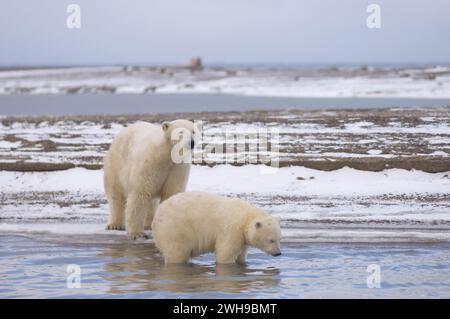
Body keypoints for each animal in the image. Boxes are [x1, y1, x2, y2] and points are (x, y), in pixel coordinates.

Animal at [153, 192, 284, 264]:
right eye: (271, 240)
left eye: (279, 239)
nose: (278, 253)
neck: (245, 218)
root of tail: (157, 216)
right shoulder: (231, 230)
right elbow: (225, 253)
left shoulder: (242, 238)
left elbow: (241, 255)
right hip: (175, 229)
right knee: (176, 253)